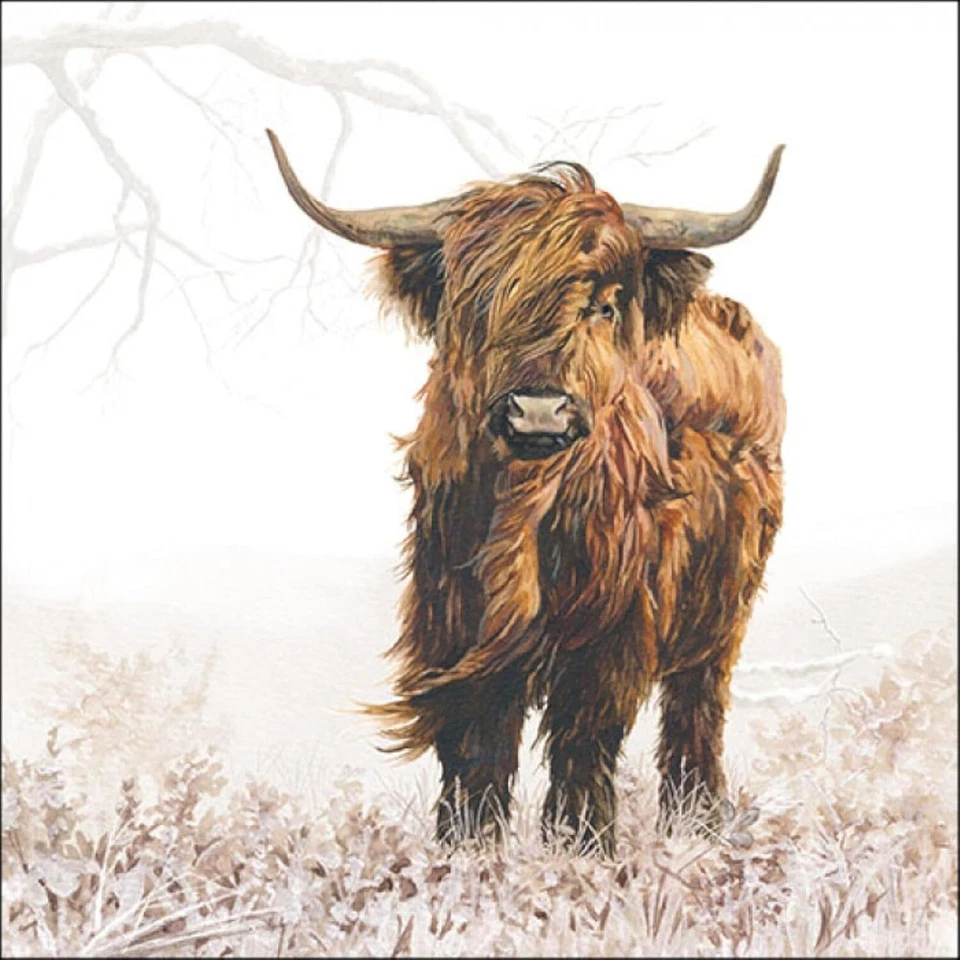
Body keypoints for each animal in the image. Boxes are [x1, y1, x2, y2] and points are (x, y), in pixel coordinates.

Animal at [267, 130, 785, 857]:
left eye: (604, 304)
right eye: (476, 305)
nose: (539, 412)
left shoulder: (616, 624)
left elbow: (584, 736)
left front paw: (583, 849)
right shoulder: (451, 612)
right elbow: (477, 742)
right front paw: (466, 850)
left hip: (723, 611)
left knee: (695, 712)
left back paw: (701, 823)